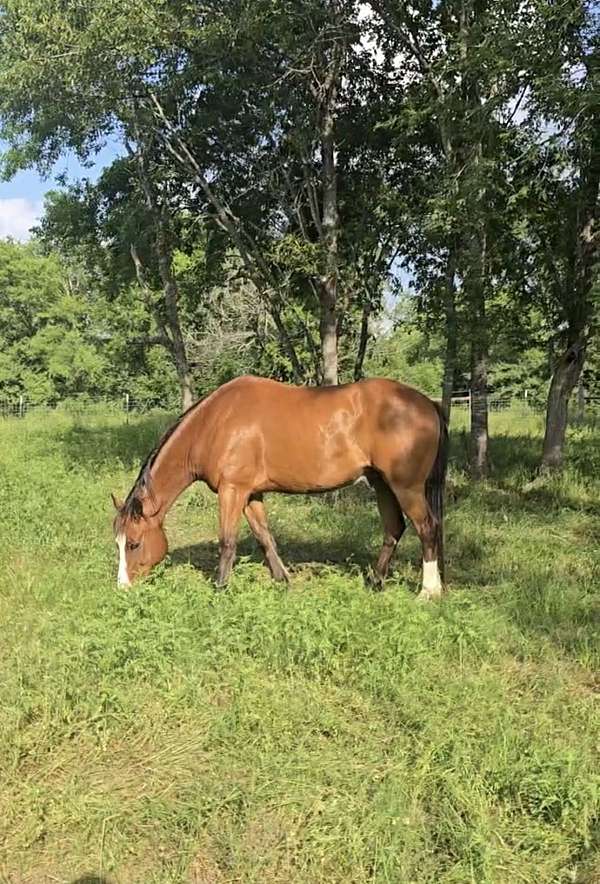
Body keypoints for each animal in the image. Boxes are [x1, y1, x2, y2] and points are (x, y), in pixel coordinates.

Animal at [112, 375, 448, 599]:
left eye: (134, 544)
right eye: (118, 543)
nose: (122, 587)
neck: (216, 423)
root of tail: (427, 404)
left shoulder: (232, 491)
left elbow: (227, 541)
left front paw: (220, 588)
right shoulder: (251, 494)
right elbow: (264, 537)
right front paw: (281, 580)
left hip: (406, 487)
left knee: (427, 528)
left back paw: (428, 592)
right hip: (382, 485)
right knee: (394, 529)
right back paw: (376, 582)